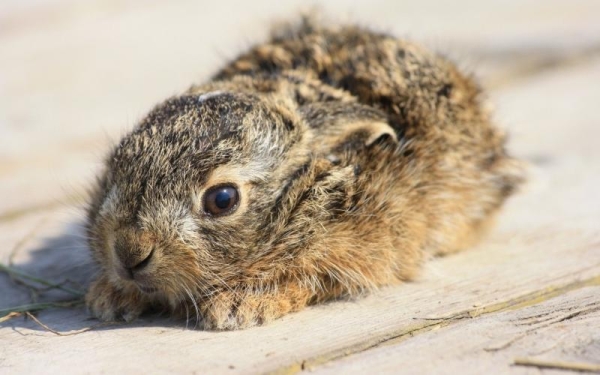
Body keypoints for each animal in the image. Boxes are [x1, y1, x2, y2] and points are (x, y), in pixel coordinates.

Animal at [85, 16, 524, 328]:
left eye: (222, 200)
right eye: (119, 161)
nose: (129, 253)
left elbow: (312, 278)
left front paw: (239, 305)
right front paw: (110, 297)